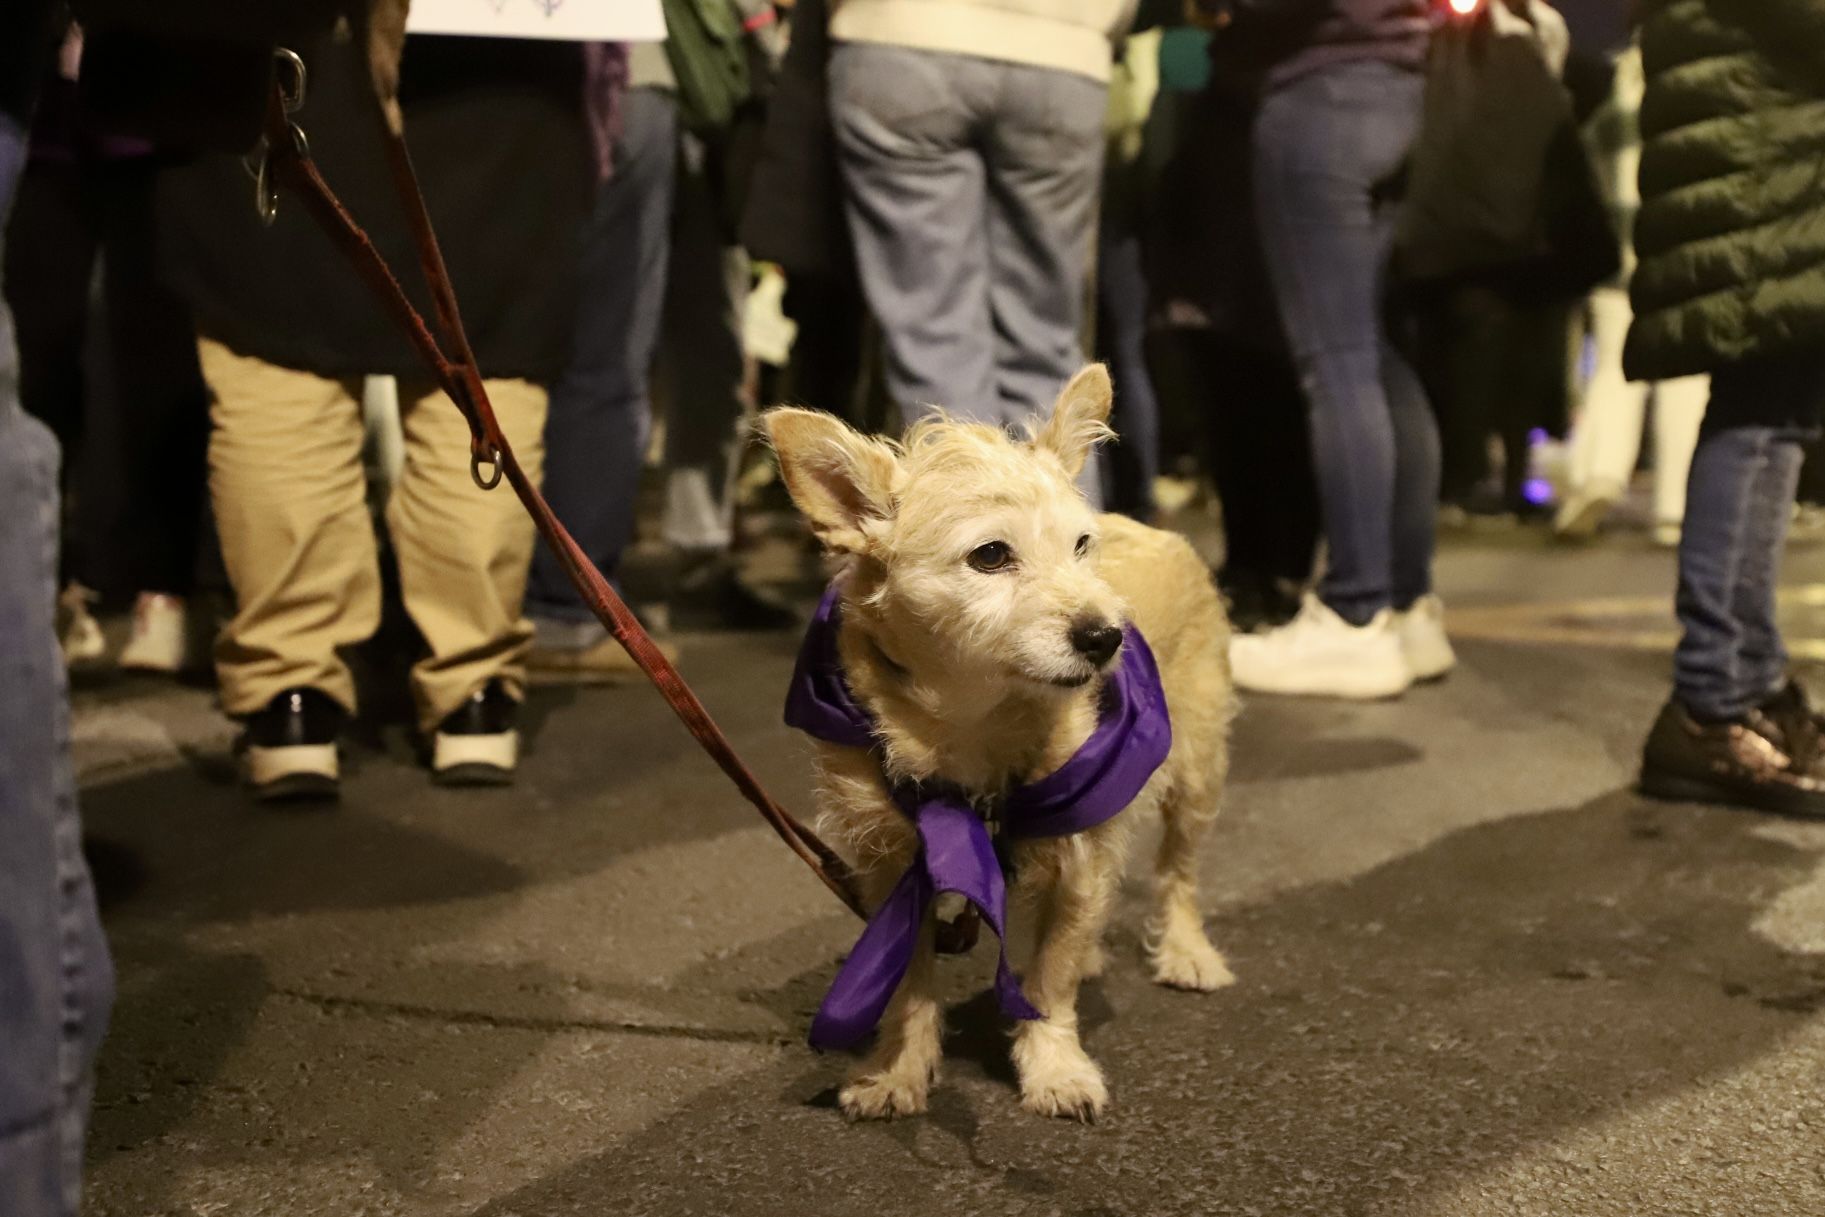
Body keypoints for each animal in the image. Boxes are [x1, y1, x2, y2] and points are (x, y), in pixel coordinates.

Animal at [762, 364, 1233, 1123]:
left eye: (1082, 546)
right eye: (990, 555)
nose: (1106, 637)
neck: (973, 715)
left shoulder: (1079, 848)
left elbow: (1049, 981)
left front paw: (1054, 1068)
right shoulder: (893, 861)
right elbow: (907, 983)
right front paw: (898, 1069)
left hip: (1196, 769)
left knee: (1177, 874)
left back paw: (1187, 951)